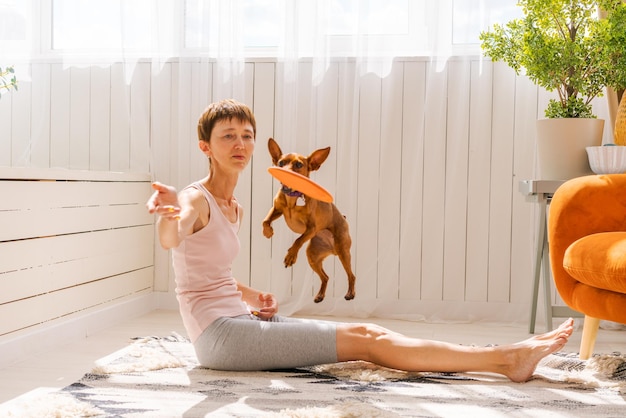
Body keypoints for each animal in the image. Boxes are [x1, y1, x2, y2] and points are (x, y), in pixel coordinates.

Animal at [260, 139, 356, 302]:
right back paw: (320, 296)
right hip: (312, 256)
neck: (292, 197)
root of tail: (332, 249)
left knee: (351, 275)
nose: (285, 172)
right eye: (280, 163)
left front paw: (290, 256)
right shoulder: (277, 209)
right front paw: (268, 232)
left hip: (343, 252)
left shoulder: (311, 228)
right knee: (325, 277)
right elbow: (265, 221)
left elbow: (298, 240)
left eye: (299, 165)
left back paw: (350, 293)